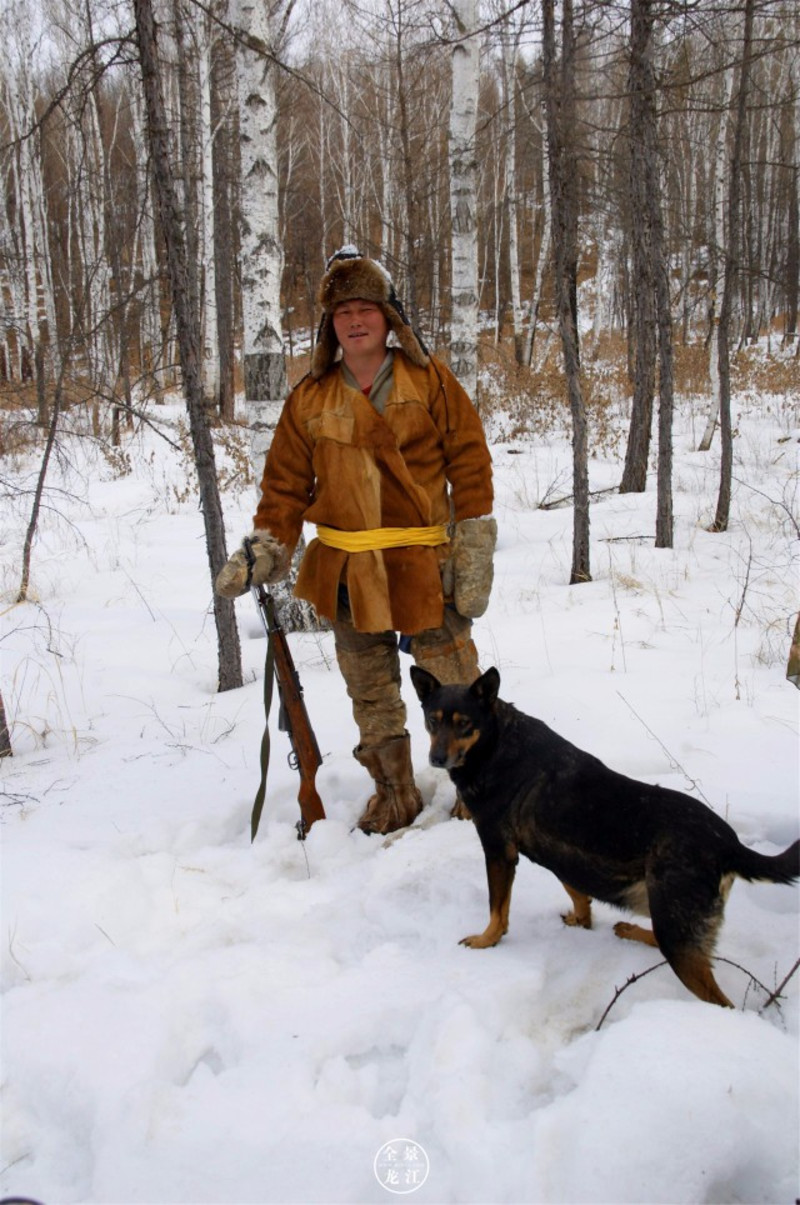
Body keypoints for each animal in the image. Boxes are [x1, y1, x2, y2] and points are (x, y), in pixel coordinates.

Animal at [409, 665, 795, 1012]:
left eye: (464, 723)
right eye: (432, 721)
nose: (437, 759)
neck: (494, 744)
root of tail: (729, 844)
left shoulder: (499, 851)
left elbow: (497, 908)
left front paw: (487, 940)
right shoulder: (562, 853)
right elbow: (576, 891)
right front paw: (582, 921)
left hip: (676, 928)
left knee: (721, 1000)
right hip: (670, 917)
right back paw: (631, 930)